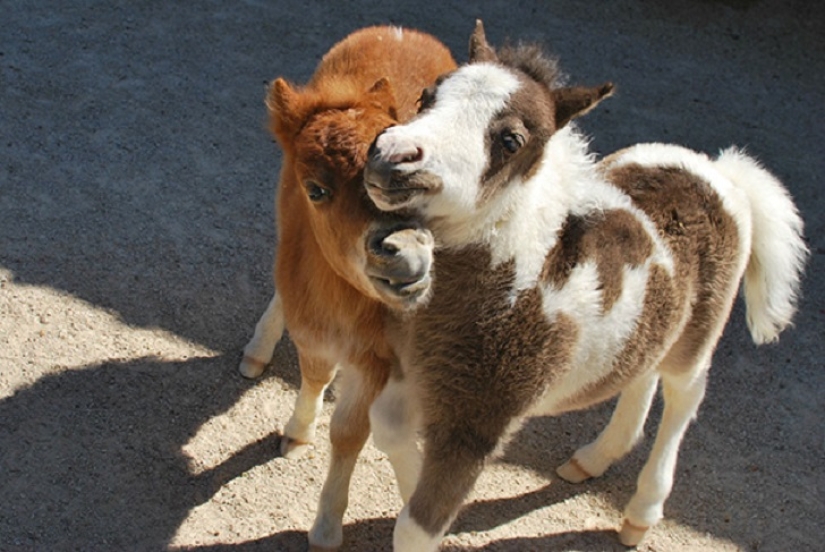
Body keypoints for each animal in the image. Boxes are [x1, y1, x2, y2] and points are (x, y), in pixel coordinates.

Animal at [238, 28, 458, 548]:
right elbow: (316, 376)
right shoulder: (314, 331)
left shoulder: (379, 356)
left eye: (409, 182)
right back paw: (257, 350)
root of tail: (402, 30)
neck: (342, 305)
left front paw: (325, 525)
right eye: (316, 189)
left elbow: (349, 433)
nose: (405, 250)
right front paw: (297, 434)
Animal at [362, 21, 804, 552]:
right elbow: (387, 429)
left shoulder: (480, 418)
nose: (391, 156)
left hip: (698, 336)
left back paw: (641, 512)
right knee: (642, 370)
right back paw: (594, 459)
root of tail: (720, 171)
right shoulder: (409, 366)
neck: (517, 273)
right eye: (427, 96)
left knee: (684, 396)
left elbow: (417, 526)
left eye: (511, 139)